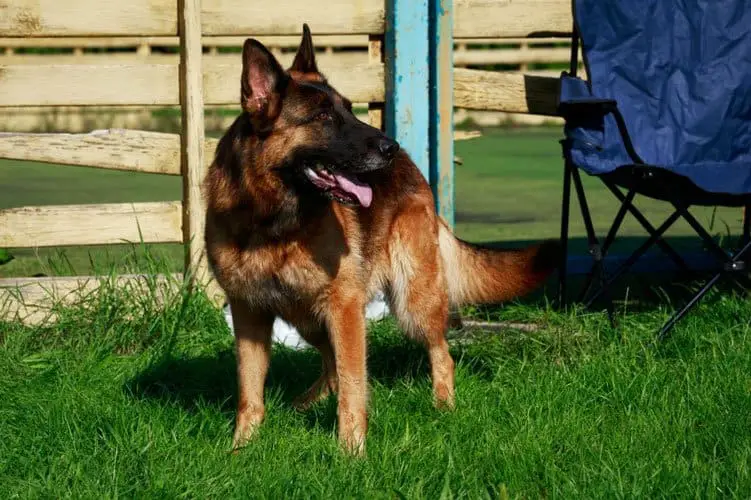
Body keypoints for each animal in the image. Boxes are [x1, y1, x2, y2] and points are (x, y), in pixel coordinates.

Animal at [203, 25, 560, 456]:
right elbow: (250, 393)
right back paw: (304, 405)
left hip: (410, 303)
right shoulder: (249, 315)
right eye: (323, 117)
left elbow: (354, 386)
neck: (273, 222)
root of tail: (415, 170)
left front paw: (351, 453)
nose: (391, 147)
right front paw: (241, 449)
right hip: (311, 318)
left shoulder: (344, 308)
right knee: (330, 364)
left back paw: (444, 407)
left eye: (348, 109)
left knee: (440, 355)